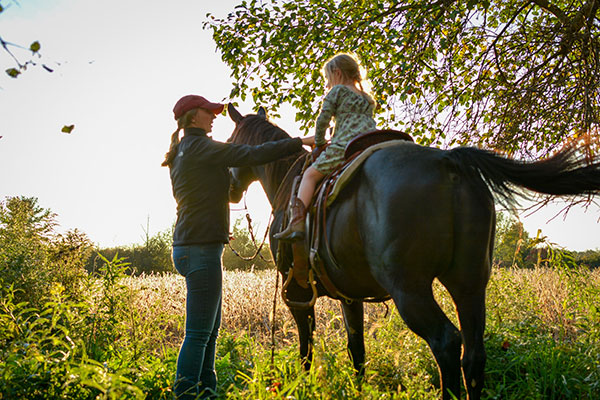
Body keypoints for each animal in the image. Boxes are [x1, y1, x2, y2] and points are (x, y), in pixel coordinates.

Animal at [225, 104, 600, 398]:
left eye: (229, 143)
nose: (229, 188)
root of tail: (449, 160)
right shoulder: (350, 296)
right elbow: (356, 348)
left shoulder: (298, 294)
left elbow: (306, 348)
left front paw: (302, 385)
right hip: (469, 284)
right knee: (473, 355)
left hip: (410, 290)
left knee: (446, 342)